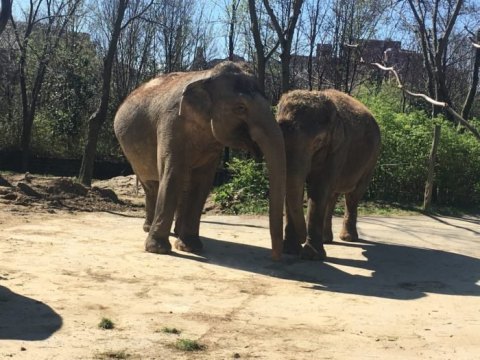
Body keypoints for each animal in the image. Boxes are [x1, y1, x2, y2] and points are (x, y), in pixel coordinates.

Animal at [113, 61, 284, 258]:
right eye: (241, 108)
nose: (276, 257)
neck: (205, 76)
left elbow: (202, 182)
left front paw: (190, 247)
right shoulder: (171, 123)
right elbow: (172, 174)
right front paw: (159, 250)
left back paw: (176, 232)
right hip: (131, 155)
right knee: (151, 185)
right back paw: (148, 228)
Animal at [276, 89, 380, 260]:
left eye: (317, 142)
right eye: (280, 134)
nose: (301, 238)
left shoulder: (338, 149)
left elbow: (318, 189)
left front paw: (311, 256)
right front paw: (289, 251)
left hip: (372, 160)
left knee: (352, 196)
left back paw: (348, 238)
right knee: (332, 196)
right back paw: (327, 240)